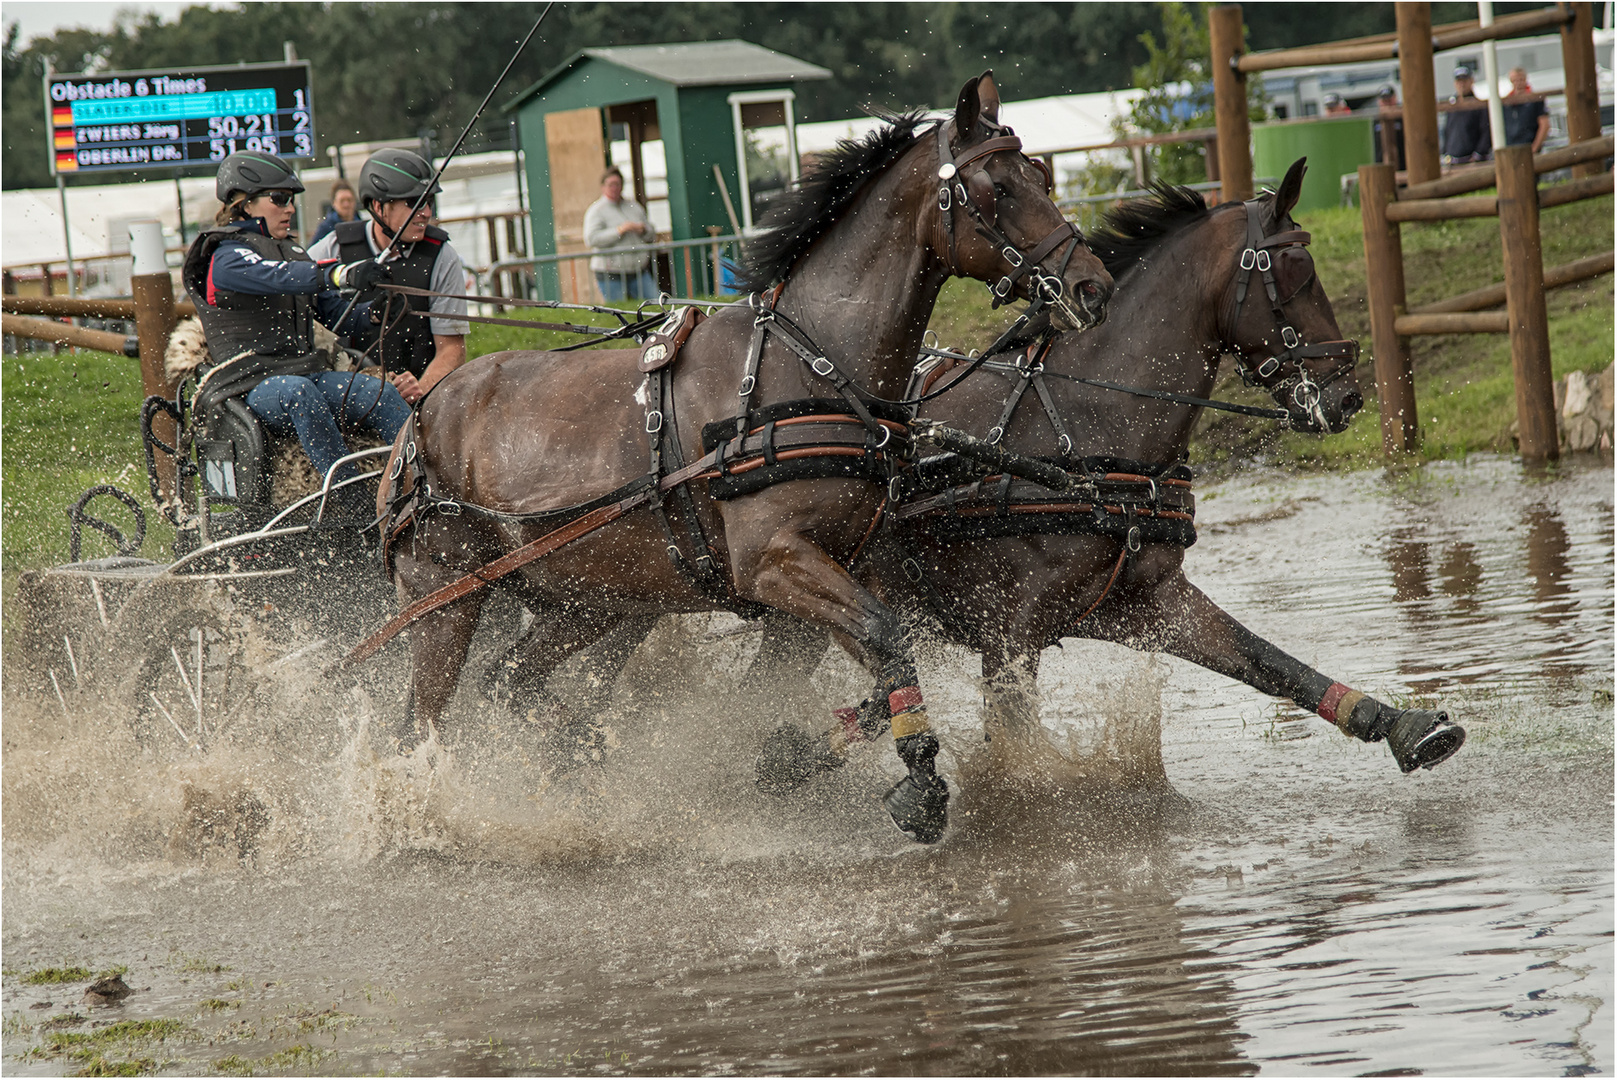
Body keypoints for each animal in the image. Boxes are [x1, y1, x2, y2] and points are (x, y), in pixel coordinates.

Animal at [375, 73, 1112, 840]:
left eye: (1040, 174)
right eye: (998, 188)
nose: (1092, 285)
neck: (810, 360)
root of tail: (417, 419)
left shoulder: (838, 564)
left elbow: (880, 652)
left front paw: (812, 758)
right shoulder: (771, 561)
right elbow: (885, 635)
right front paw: (920, 787)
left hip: (586, 601)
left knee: (511, 683)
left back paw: (575, 762)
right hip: (441, 600)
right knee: (420, 725)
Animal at [759, 162, 1468, 792]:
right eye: (1297, 272)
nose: (1346, 395)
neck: (1085, 428)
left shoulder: (1148, 604)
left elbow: (1271, 662)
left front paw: (1402, 725)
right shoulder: (1009, 638)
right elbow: (1019, 748)